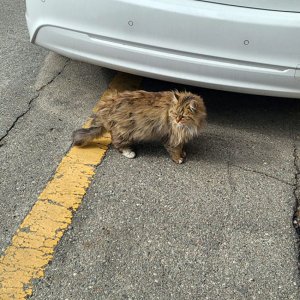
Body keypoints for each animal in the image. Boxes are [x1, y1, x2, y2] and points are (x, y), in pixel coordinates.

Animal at [72, 89, 206, 164]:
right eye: (174, 114)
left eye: (182, 116)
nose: (176, 120)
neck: (188, 125)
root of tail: (108, 104)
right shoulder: (172, 136)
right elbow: (175, 149)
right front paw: (178, 158)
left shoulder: (181, 135)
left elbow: (181, 146)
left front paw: (183, 153)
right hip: (124, 131)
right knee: (117, 143)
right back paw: (128, 152)